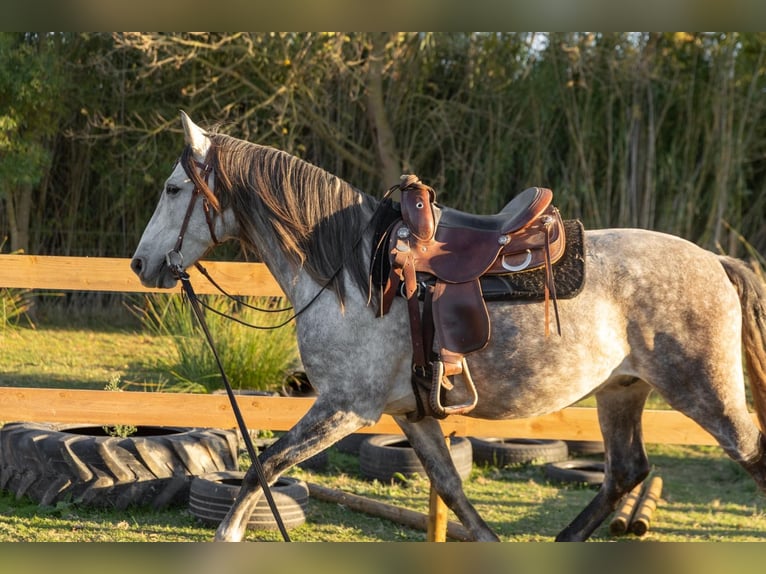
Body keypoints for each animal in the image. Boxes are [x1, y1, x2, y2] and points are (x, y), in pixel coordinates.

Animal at [131, 111, 766, 542]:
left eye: (173, 188)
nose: (140, 264)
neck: (349, 275)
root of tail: (716, 262)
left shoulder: (345, 408)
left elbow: (264, 464)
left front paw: (228, 536)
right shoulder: (410, 415)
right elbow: (453, 491)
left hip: (705, 392)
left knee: (749, 454)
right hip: (621, 390)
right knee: (625, 472)